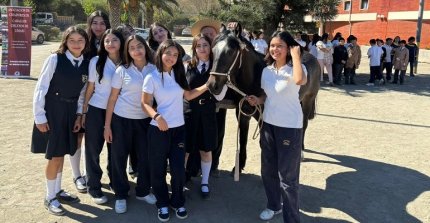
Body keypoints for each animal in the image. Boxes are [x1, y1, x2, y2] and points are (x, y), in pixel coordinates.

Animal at [207, 24, 320, 171]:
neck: (255, 78)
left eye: (230, 52)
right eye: (213, 50)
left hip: (308, 100)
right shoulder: (243, 112)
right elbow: (243, 138)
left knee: (304, 124)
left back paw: (301, 153)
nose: (212, 85)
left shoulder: (263, 117)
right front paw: (239, 165)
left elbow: (263, 142)